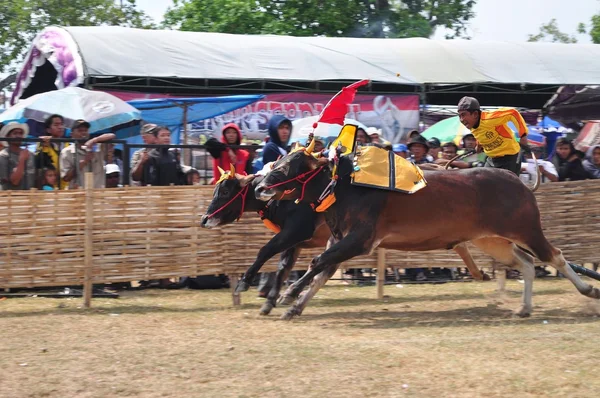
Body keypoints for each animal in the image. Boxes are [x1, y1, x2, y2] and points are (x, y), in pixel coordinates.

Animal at [254, 143, 600, 320]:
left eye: (286, 166)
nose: (258, 187)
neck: (345, 187)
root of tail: (521, 181)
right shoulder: (341, 241)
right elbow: (322, 272)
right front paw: (294, 305)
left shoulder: (361, 240)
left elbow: (316, 264)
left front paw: (287, 294)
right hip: (492, 240)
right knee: (527, 264)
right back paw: (525, 308)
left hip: (526, 229)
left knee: (555, 256)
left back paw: (588, 290)